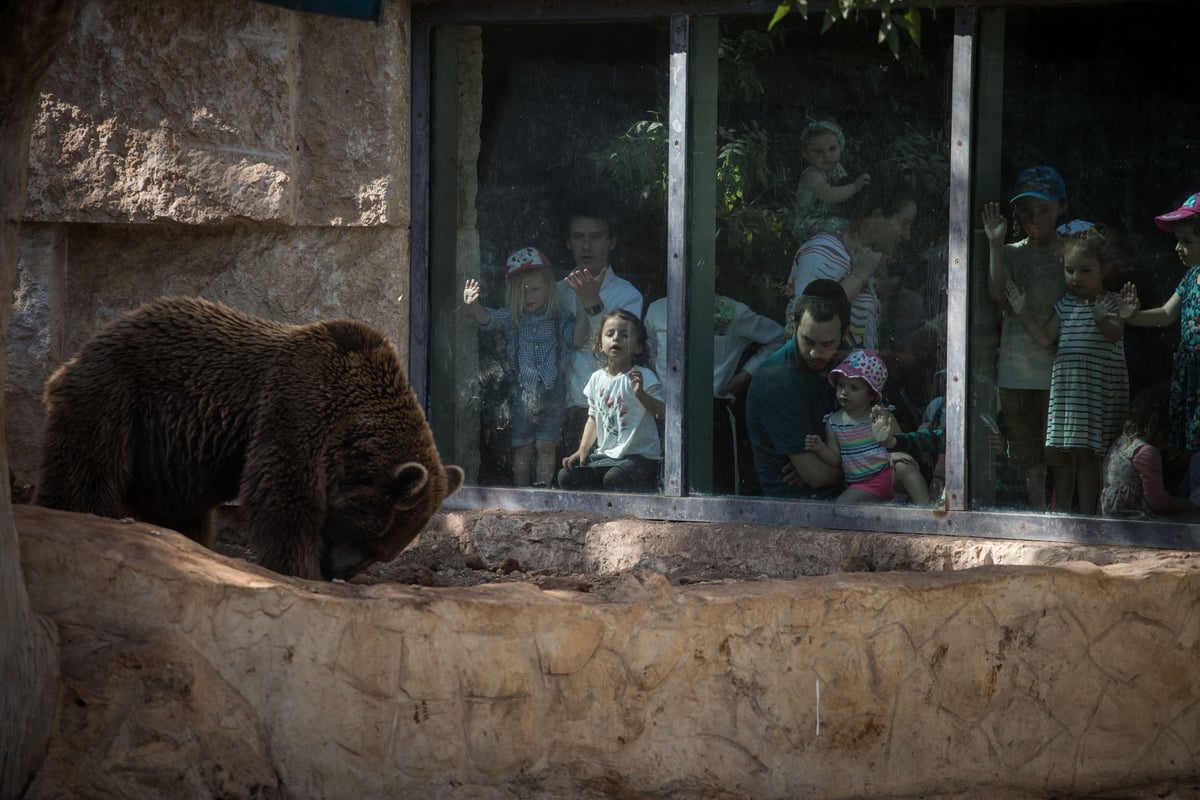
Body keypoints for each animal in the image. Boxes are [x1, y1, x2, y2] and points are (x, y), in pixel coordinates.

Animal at [32, 293, 463, 582]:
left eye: (381, 554)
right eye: (371, 542)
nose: (335, 571)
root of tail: (80, 353)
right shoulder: (298, 403)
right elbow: (282, 492)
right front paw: (298, 568)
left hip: (166, 454)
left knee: (177, 508)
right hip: (116, 399)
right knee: (85, 470)